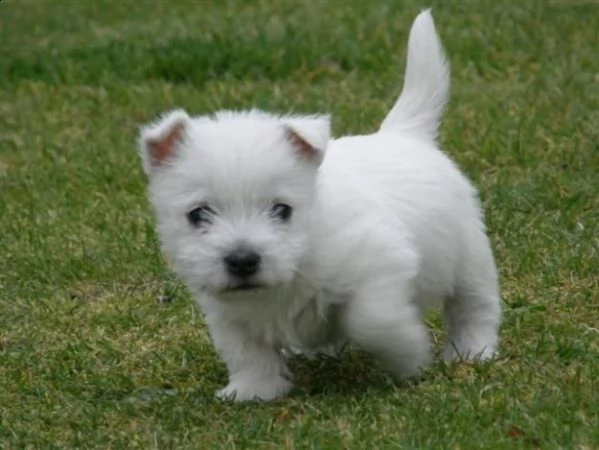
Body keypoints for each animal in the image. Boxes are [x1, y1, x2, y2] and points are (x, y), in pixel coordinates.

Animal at [137, 9, 502, 400]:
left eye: (282, 210)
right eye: (198, 214)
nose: (242, 261)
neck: (299, 257)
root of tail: (404, 133)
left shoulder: (380, 262)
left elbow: (372, 319)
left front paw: (408, 354)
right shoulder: (228, 311)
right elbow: (246, 349)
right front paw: (254, 390)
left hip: (470, 258)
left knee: (474, 307)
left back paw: (472, 351)